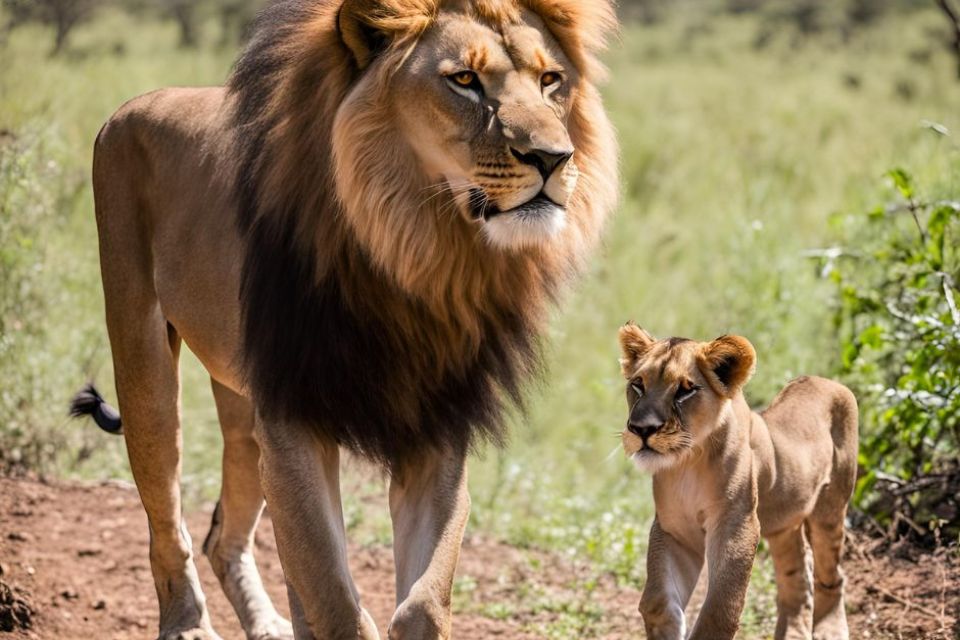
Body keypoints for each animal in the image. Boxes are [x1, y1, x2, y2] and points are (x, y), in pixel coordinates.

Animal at [71, 1, 620, 640]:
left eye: (550, 80)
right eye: (464, 80)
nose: (554, 159)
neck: (414, 253)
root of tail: (132, 106)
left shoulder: (436, 428)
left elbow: (421, 604)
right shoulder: (296, 418)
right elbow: (336, 600)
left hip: (244, 412)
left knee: (225, 535)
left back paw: (269, 623)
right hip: (145, 362)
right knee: (169, 520)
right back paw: (187, 624)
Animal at [620, 324, 860, 640]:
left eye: (685, 390)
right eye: (638, 385)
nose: (641, 429)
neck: (688, 464)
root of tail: (826, 380)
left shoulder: (737, 524)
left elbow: (720, 609)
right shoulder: (675, 530)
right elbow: (657, 602)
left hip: (830, 509)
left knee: (832, 574)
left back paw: (830, 629)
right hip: (783, 523)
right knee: (796, 577)